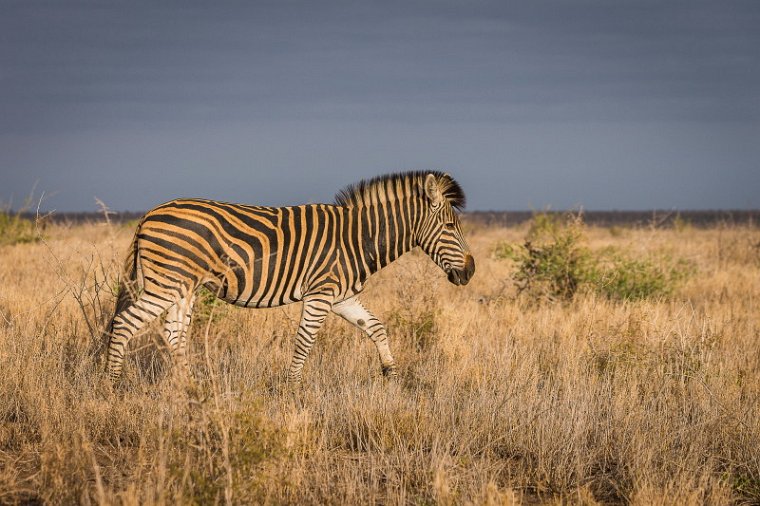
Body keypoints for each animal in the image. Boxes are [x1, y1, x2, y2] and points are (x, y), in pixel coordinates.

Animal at [105, 171, 476, 384]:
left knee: (173, 335)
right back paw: (111, 385)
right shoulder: (321, 293)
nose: (470, 271)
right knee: (124, 323)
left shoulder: (341, 296)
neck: (359, 237)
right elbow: (304, 342)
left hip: (183, 287)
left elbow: (376, 327)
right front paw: (293, 391)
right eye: (450, 227)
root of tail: (149, 215)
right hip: (166, 284)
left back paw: (188, 390)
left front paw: (391, 375)